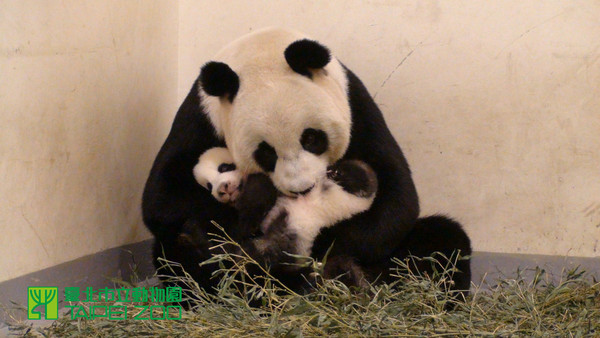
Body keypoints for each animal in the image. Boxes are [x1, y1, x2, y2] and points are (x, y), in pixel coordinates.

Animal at [142, 27, 474, 298]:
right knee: (179, 250)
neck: (261, 50)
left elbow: (396, 197)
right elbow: (163, 200)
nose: (302, 189)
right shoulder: (201, 116)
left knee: (442, 243)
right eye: (265, 152)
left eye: (312, 138)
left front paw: (326, 250)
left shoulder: (354, 104)